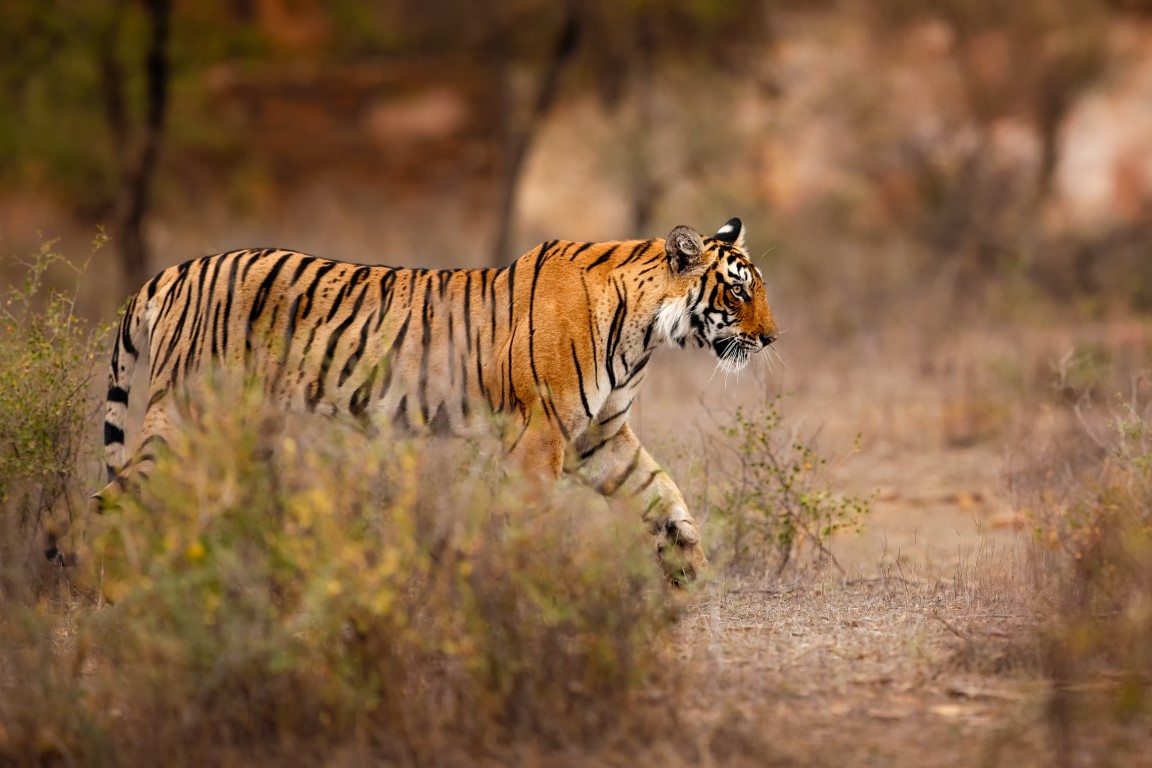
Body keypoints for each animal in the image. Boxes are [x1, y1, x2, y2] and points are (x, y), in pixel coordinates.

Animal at [94, 218, 778, 584]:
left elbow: (665, 496)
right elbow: (531, 520)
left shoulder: (598, 439)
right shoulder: (541, 436)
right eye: (739, 292)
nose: (773, 338)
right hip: (185, 420)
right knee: (110, 501)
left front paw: (690, 572)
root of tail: (175, 271)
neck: (647, 335)